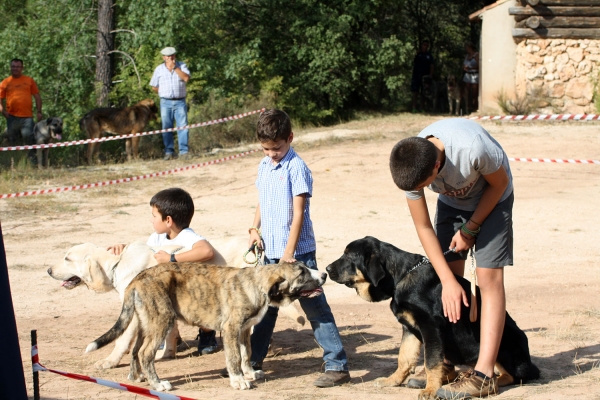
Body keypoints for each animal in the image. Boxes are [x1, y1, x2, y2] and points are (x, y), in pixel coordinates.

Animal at [47, 238, 304, 368]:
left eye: (67, 258)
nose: (48, 270)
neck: (117, 263)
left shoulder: (132, 314)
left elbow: (120, 342)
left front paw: (108, 362)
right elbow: (170, 334)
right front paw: (166, 354)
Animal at [86, 262, 326, 390]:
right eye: (301, 273)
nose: (324, 274)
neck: (256, 284)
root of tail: (138, 278)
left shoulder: (243, 330)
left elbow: (246, 354)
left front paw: (249, 373)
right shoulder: (230, 328)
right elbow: (234, 358)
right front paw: (238, 381)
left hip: (145, 323)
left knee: (136, 350)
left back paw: (137, 377)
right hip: (162, 321)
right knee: (145, 353)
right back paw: (158, 384)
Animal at [326, 236, 540, 398]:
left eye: (349, 255)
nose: (327, 270)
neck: (400, 277)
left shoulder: (430, 326)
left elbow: (431, 362)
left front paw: (430, 390)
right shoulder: (409, 328)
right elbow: (404, 358)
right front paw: (393, 381)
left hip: (503, 343)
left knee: (514, 375)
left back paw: (491, 379)